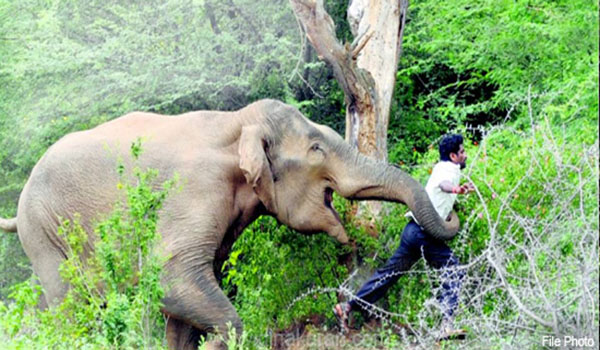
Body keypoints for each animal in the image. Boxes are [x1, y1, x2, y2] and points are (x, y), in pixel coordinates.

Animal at [1, 99, 460, 350]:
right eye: (316, 149)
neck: (236, 122)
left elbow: (185, 300)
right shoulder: (196, 190)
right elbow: (172, 278)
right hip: (44, 232)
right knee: (69, 307)